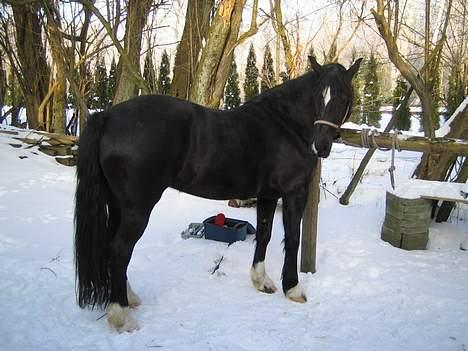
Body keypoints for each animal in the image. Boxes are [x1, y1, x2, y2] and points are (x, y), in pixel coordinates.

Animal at [74, 57, 362, 332]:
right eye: (318, 97)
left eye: (342, 98)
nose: (320, 146)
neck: (286, 125)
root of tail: (107, 117)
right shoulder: (294, 192)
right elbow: (292, 238)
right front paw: (292, 288)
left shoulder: (268, 195)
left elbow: (265, 235)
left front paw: (262, 281)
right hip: (137, 209)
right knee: (120, 250)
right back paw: (121, 316)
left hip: (118, 206)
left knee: (110, 247)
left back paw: (129, 298)